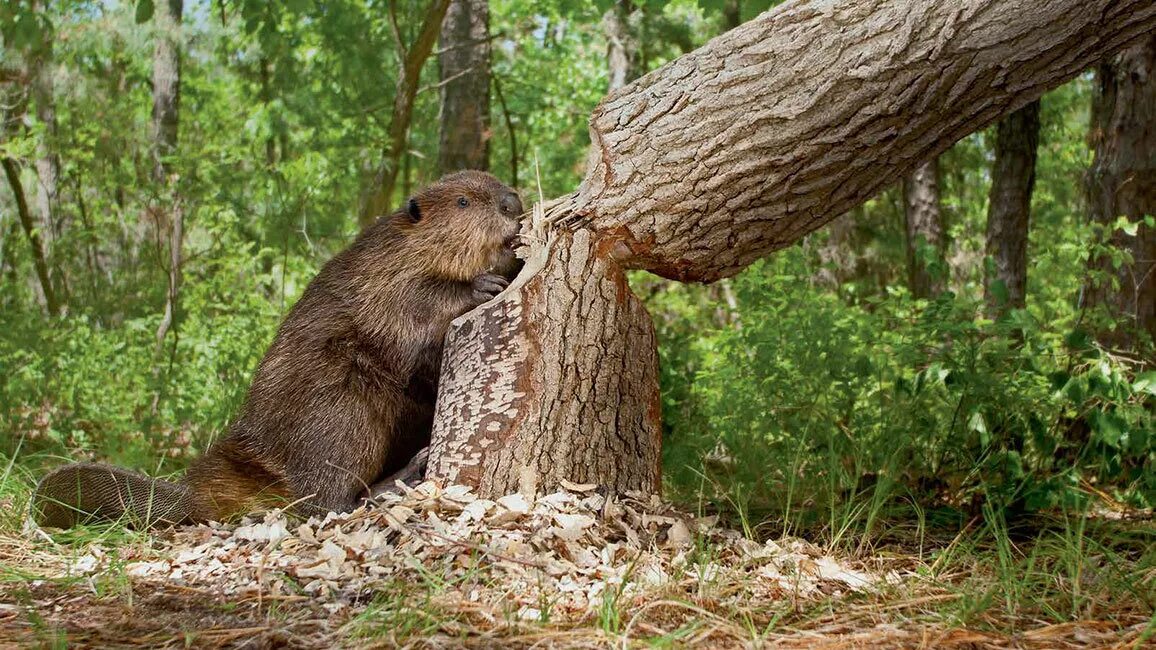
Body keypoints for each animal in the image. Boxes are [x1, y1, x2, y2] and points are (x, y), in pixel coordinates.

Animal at [32, 170, 524, 522]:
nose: (512, 203)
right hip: (339, 408)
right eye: (462, 201)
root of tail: (194, 495)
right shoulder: (382, 273)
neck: (406, 245)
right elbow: (414, 303)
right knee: (323, 499)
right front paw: (483, 284)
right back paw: (401, 477)